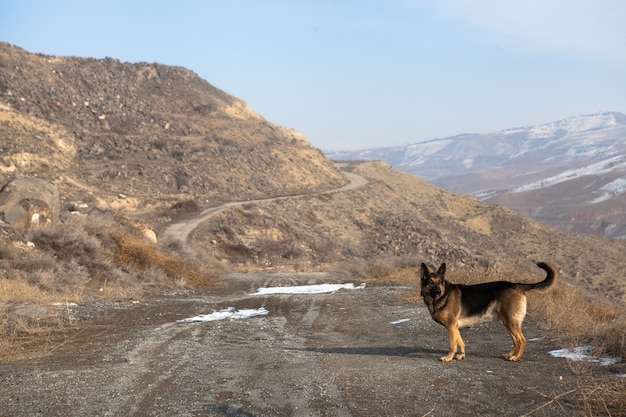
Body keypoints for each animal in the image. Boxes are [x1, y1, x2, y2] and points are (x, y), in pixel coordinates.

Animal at [420, 260, 556, 360]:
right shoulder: (454, 327)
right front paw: (461, 355)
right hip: (508, 322)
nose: (438, 292)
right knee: (516, 341)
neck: (444, 295)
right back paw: (510, 355)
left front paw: (448, 358)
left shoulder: (451, 326)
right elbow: (460, 341)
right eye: (430, 282)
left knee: (521, 340)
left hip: (510, 322)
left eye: (439, 282)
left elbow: (452, 344)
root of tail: (516, 285)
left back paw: (516, 357)